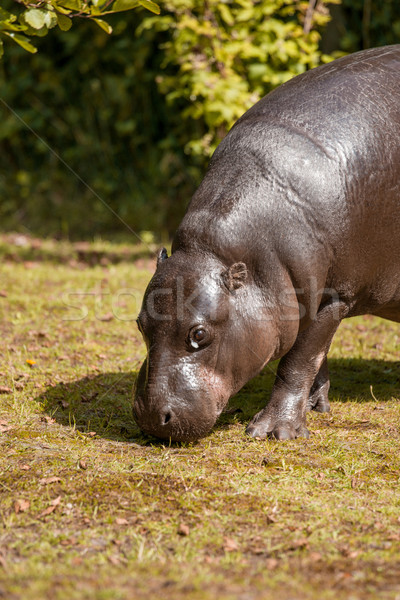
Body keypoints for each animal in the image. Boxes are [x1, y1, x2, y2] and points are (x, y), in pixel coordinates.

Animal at [134, 45, 400, 440]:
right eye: (140, 324)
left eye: (199, 333)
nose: (152, 417)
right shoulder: (304, 296)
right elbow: (315, 358)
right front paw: (315, 406)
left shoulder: (333, 296)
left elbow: (298, 362)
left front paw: (274, 431)